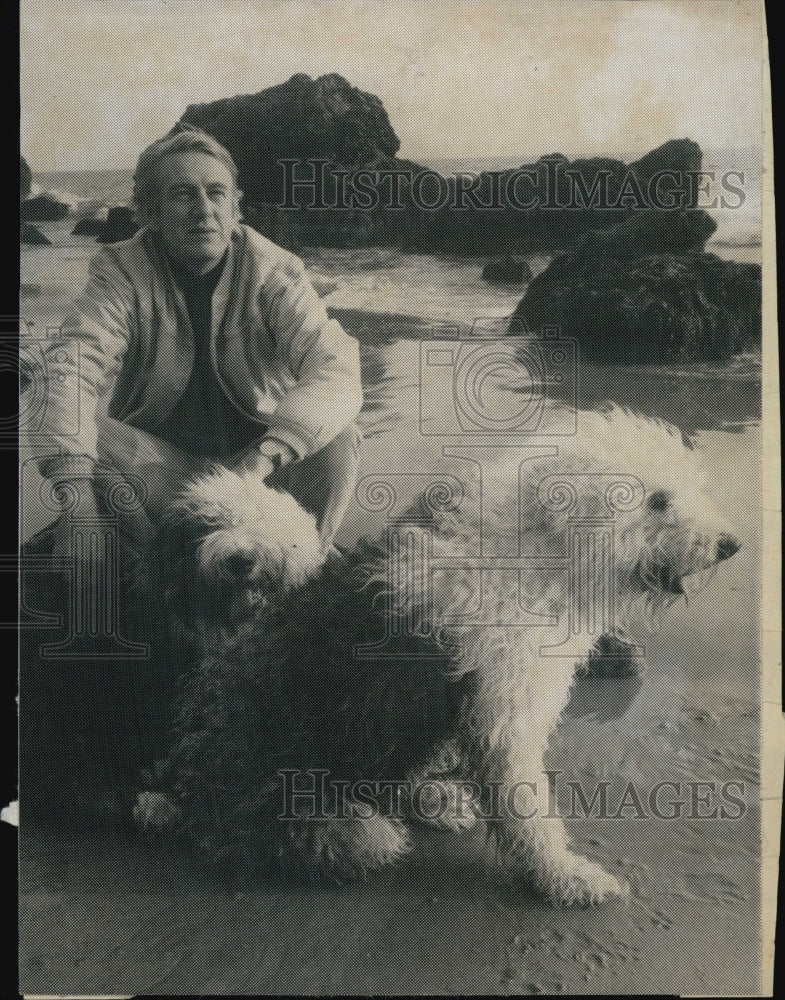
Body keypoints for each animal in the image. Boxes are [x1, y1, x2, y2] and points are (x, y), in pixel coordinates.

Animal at [136, 404, 740, 908]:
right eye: (657, 499)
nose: (730, 545)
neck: (537, 549)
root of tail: (182, 788)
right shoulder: (506, 706)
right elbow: (527, 809)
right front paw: (566, 878)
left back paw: (436, 798)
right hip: (293, 798)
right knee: (344, 837)